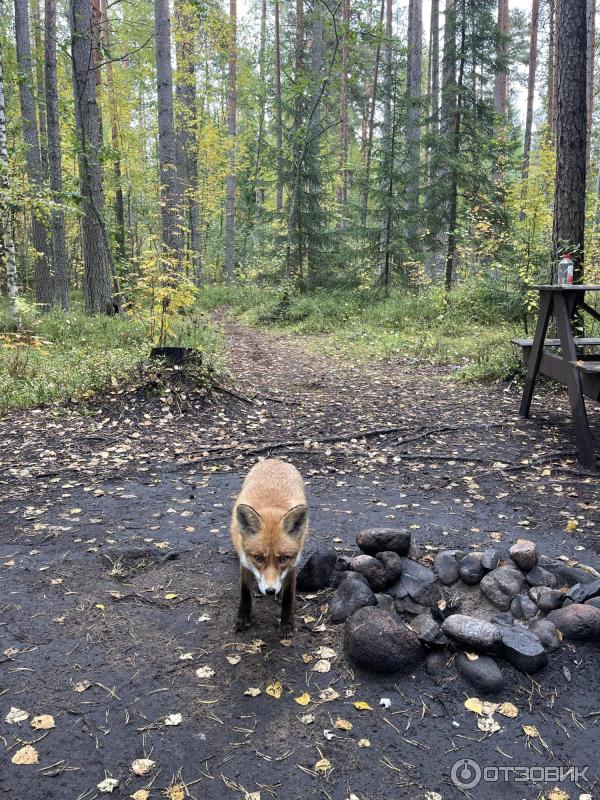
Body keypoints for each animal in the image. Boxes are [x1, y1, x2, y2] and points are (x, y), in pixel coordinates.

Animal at [231, 460, 310, 636]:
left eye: (283, 558)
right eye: (258, 558)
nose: (270, 591)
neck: (271, 508)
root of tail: (275, 460)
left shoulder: (293, 563)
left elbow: (288, 596)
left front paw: (287, 623)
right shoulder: (244, 561)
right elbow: (244, 592)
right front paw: (243, 617)